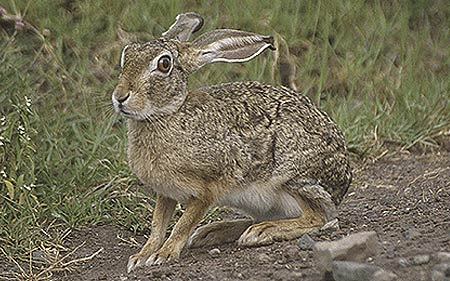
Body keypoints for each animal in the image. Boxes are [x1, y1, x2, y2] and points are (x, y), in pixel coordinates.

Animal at [112, 12, 352, 272]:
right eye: (127, 55)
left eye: (164, 64)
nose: (120, 97)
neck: (167, 114)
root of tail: (343, 183)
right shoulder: (166, 192)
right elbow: (158, 224)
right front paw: (141, 256)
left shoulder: (208, 187)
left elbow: (182, 224)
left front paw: (164, 254)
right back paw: (213, 232)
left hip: (293, 179)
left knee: (317, 217)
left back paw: (261, 232)